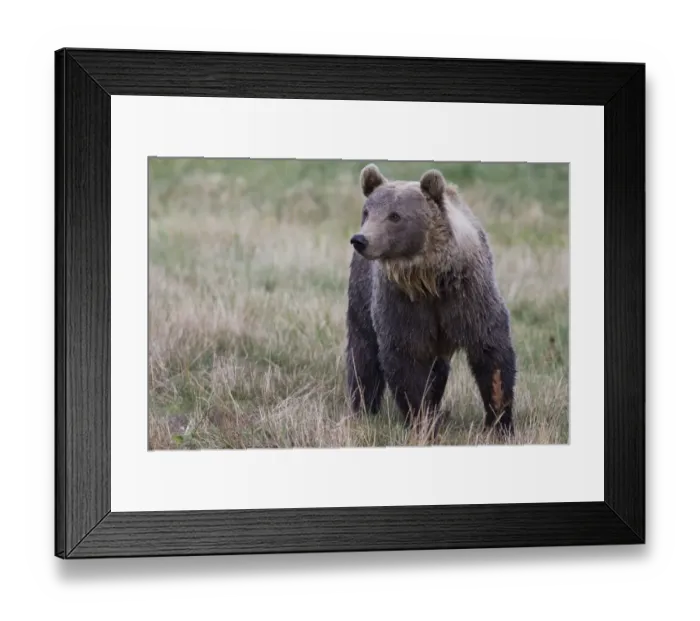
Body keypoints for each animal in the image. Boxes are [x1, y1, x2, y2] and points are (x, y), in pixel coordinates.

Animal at [344, 163, 517, 435]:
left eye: (395, 215)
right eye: (367, 211)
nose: (361, 239)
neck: (430, 279)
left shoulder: (469, 297)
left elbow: (492, 353)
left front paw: (499, 422)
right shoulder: (402, 303)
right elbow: (406, 359)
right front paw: (420, 419)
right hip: (361, 296)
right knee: (363, 354)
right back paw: (363, 408)